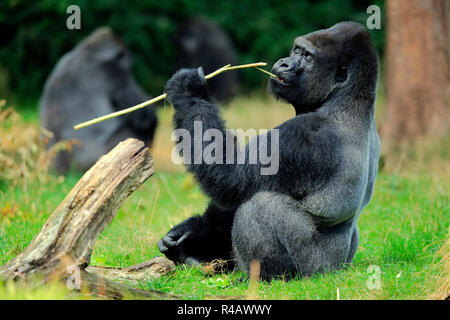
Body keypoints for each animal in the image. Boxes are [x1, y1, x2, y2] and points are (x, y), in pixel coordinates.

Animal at [158, 21, 380, 280]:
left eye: (307, 57)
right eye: (296, 50)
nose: (284, 63)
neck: (347, 99)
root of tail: (341, 267)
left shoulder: (305, 135)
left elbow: (232, 178)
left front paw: (188, 91)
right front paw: (191, 232)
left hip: (317, 270)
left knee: (260, 206)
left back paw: (265, 276)